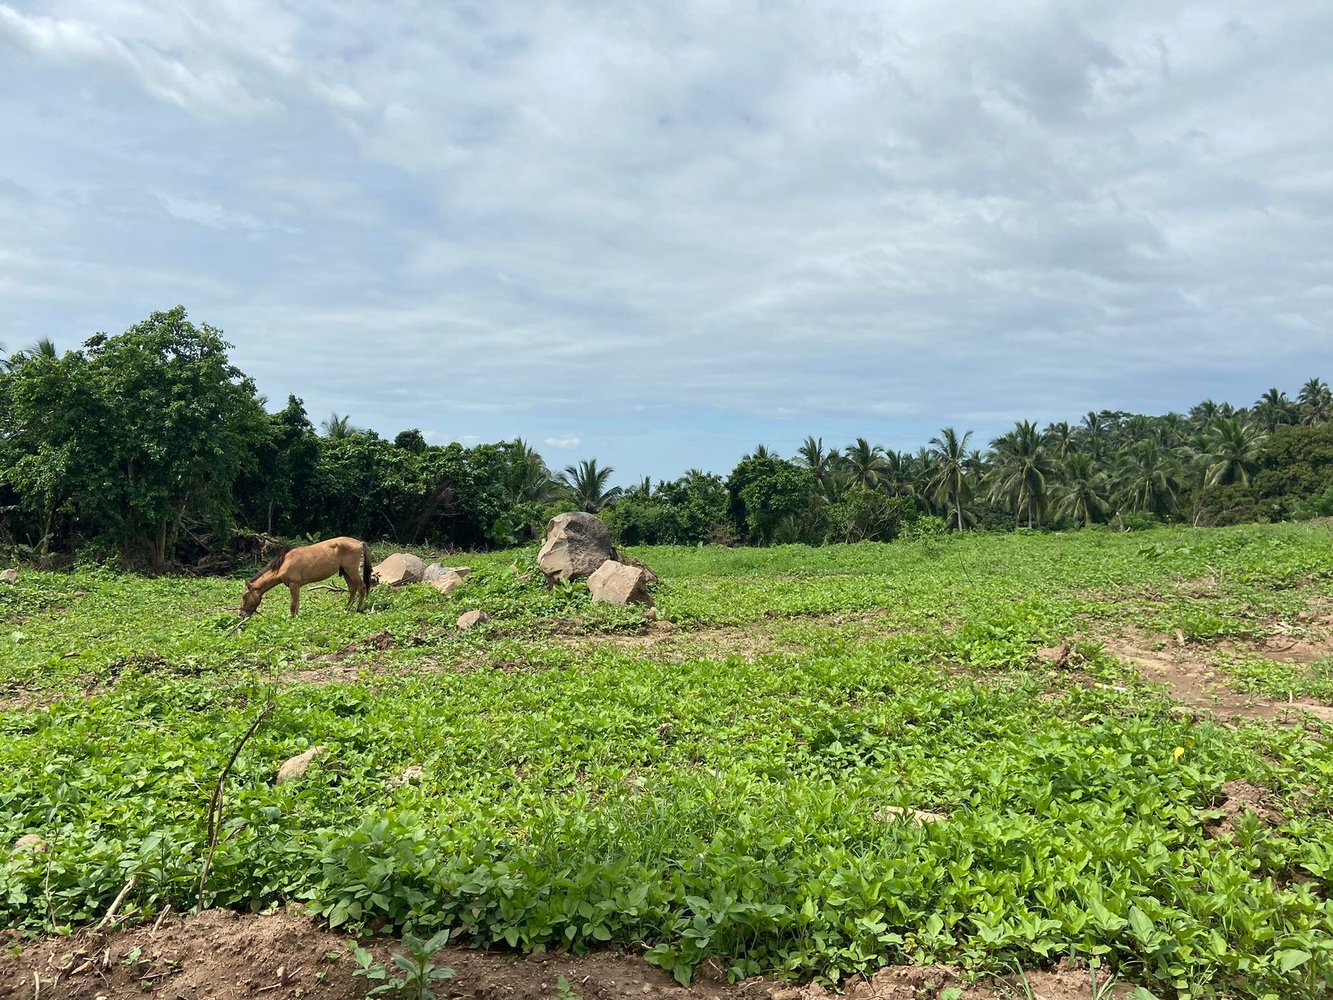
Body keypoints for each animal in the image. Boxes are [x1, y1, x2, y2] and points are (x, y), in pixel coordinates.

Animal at [239, 541, 373, 618]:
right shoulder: (297, 586)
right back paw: (346, 609)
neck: (284, 563)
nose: (241, 614)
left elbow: (293, 605)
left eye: (244, 596)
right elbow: (297, 604)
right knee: (352, 589)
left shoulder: (293, 584)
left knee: (361, 587)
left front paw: (292, 619)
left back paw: (359, 609)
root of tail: (358, 542)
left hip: (351, 570)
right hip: (345, 572)